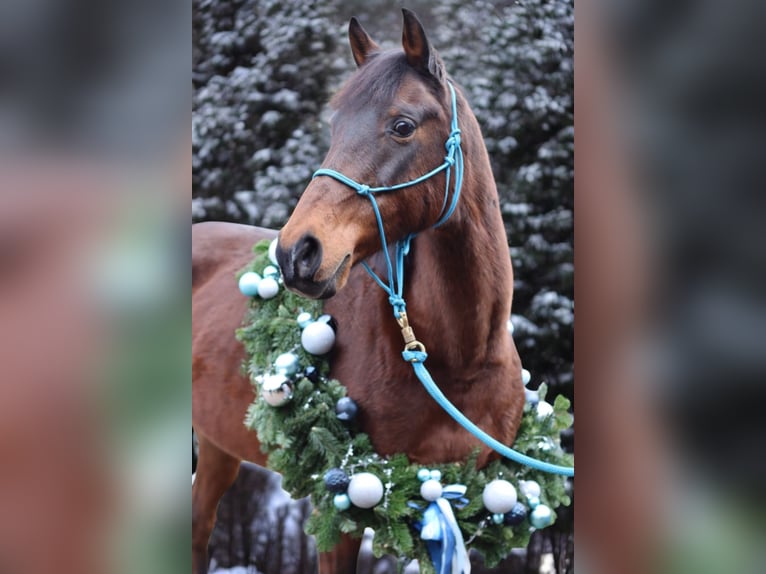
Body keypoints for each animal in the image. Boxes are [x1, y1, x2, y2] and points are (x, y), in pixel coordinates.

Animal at [192, 9, 525, 573]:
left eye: (402, 125)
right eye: (334, 126)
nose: (296, 253)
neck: (461, 358)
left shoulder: (466, 505)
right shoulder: (341, 514)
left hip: (215, 446)